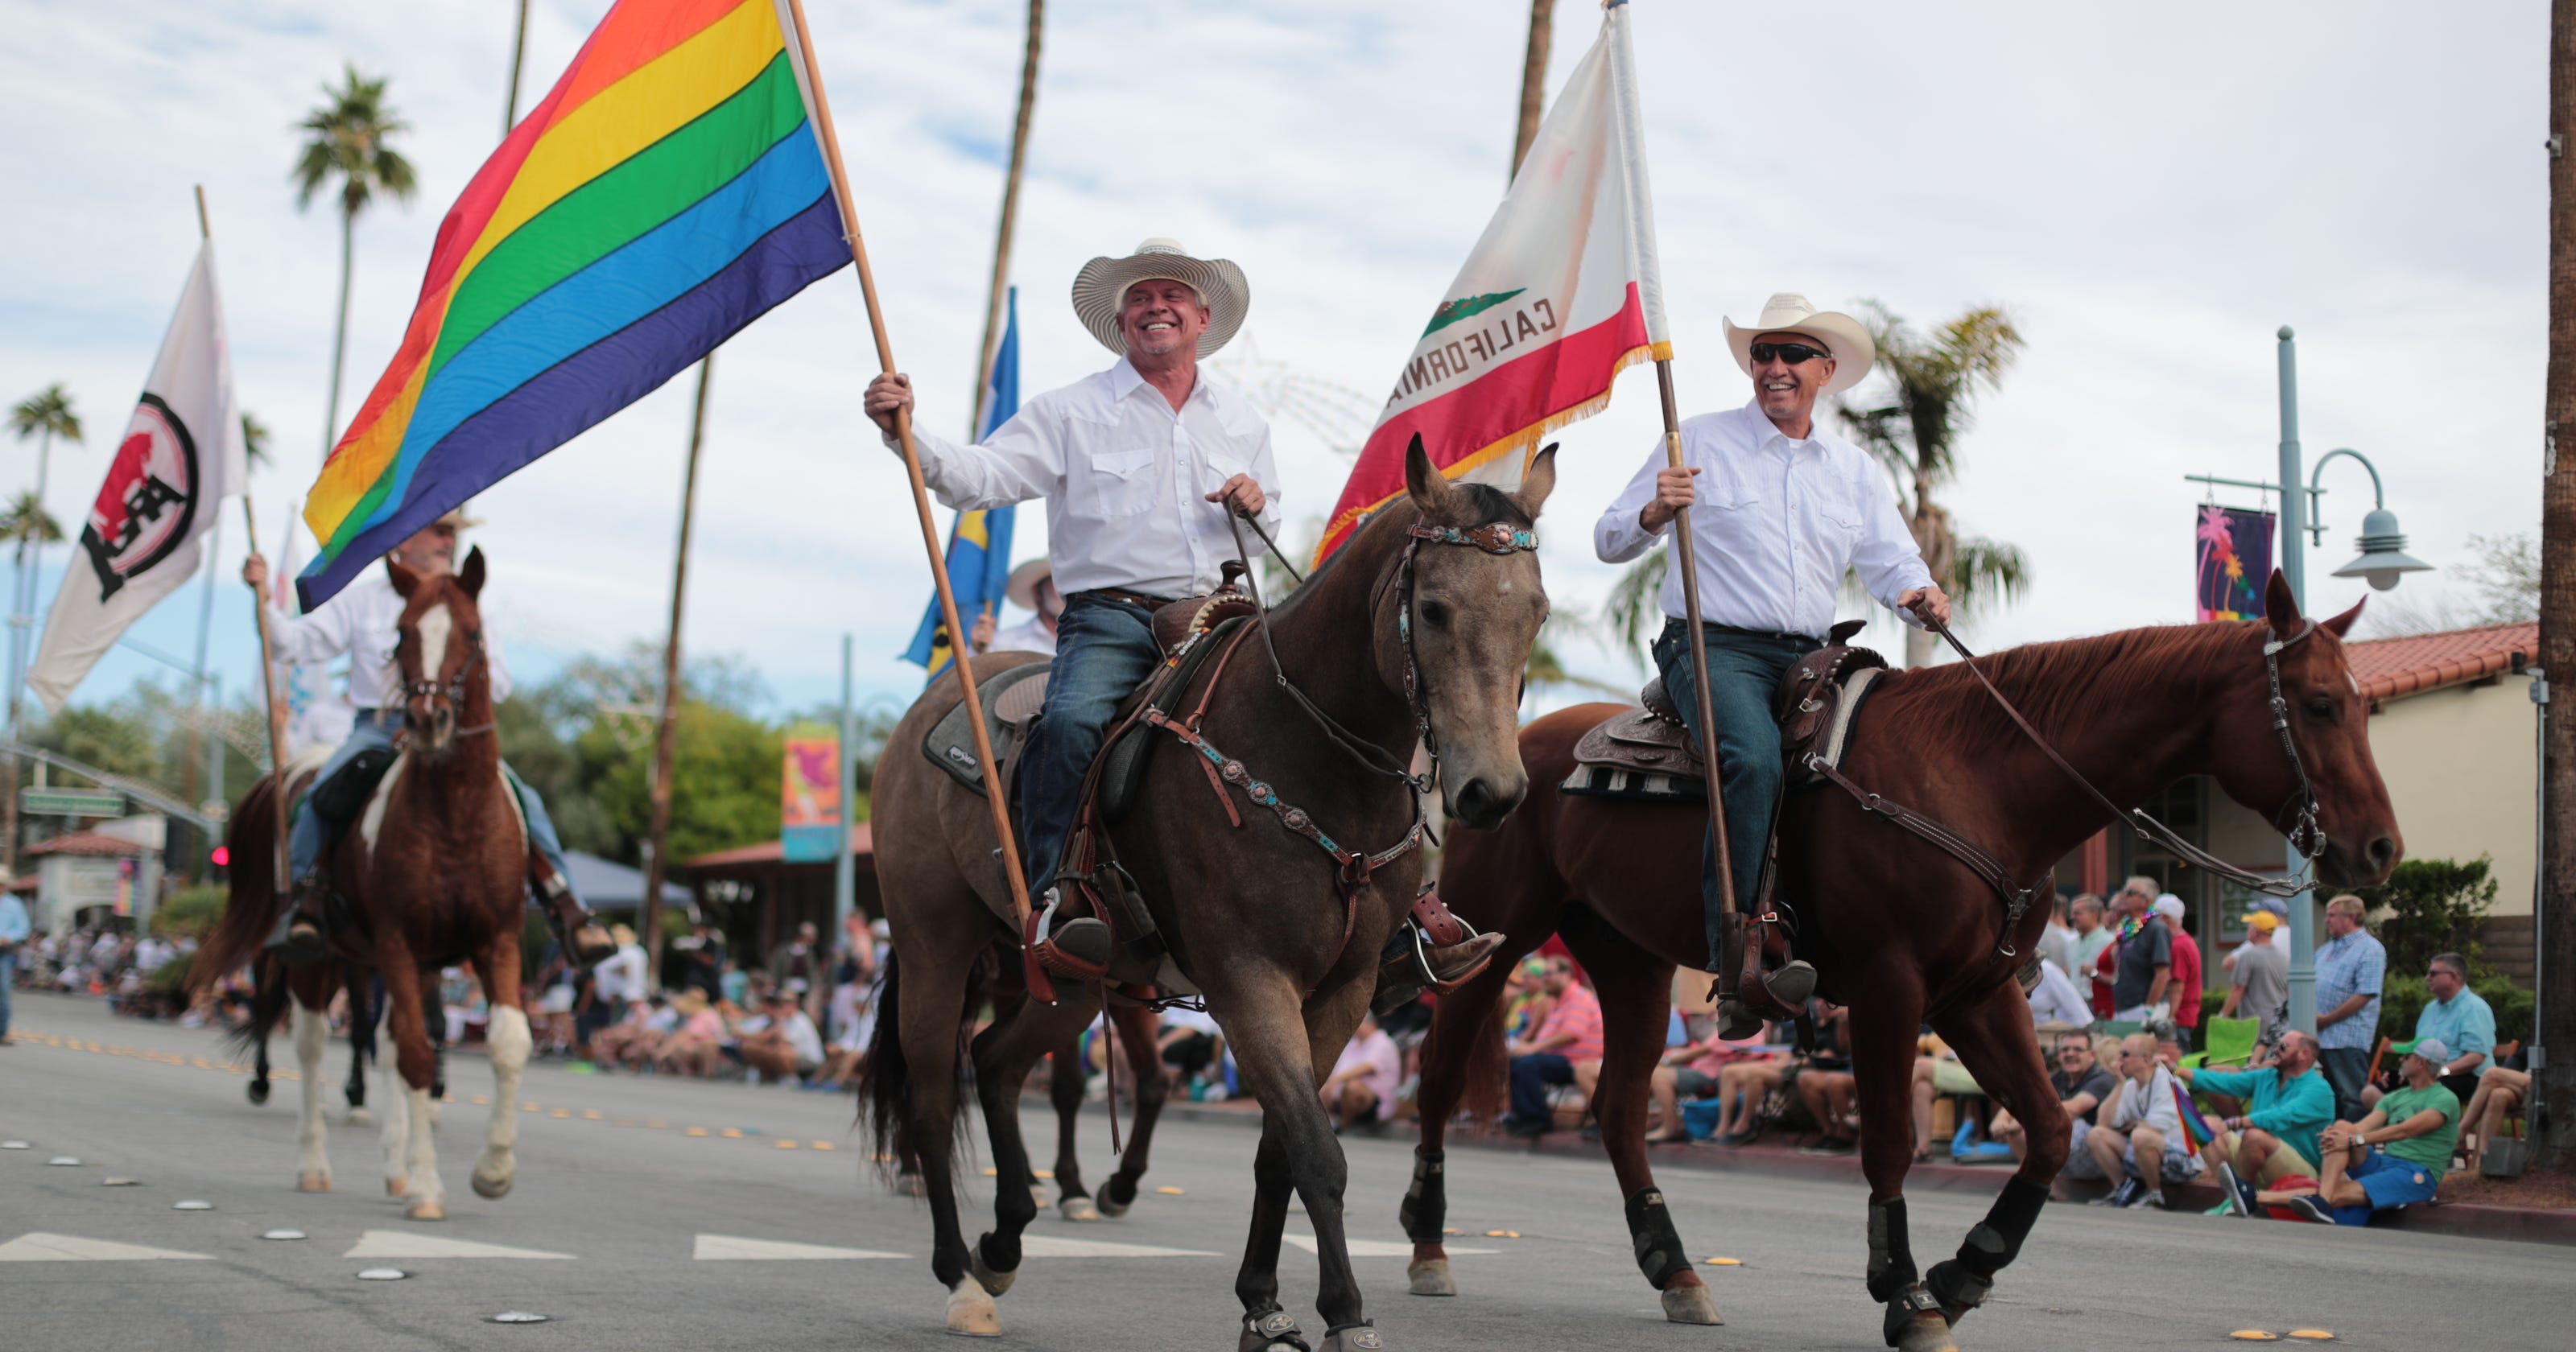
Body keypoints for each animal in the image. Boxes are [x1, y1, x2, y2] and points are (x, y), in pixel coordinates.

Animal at [194, 548, 533, 1220]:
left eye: (473, 635)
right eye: (401, 634)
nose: (428, 719)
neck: (456, 814)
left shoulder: (495, 941)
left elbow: (504, 1042)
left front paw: (493, 1172)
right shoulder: (399, 942)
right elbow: (417, 1055)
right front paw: (428, 1187)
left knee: (388, 1043)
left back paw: (395, 1167)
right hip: (319, 956)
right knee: (314, 1044)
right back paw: (315, 1165)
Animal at [865, 440, 1555, 1339]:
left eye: (1536, 613)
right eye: (1434, 609)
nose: (1491, 794)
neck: (1310, 755)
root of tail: (938, 699)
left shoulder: (1344, 989)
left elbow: (1279, 1150)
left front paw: (1262, 1304)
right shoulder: (1247, 978)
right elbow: (1315, 1151)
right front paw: (1343, 1315)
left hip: (1073, 984)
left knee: (995, 1063)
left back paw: (1005, 1242)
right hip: (933, 946)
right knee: (932, 1096)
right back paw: (960, 1279)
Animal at [1411, 571, 2390, 1349]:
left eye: (2363, 704)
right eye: (2318, 703)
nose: (2379, 848)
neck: (1980, 781)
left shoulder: (1978, 993)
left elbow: (2047, 1128)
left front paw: (1964, 1273)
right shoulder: (1891, 986)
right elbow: (1888, 1138)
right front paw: (1906, 1292)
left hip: (1631, 963)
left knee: (1617, 1110)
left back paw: (1675, 1270)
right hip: (1489, 942)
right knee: (1439, 1081)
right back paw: (1426, 1247)